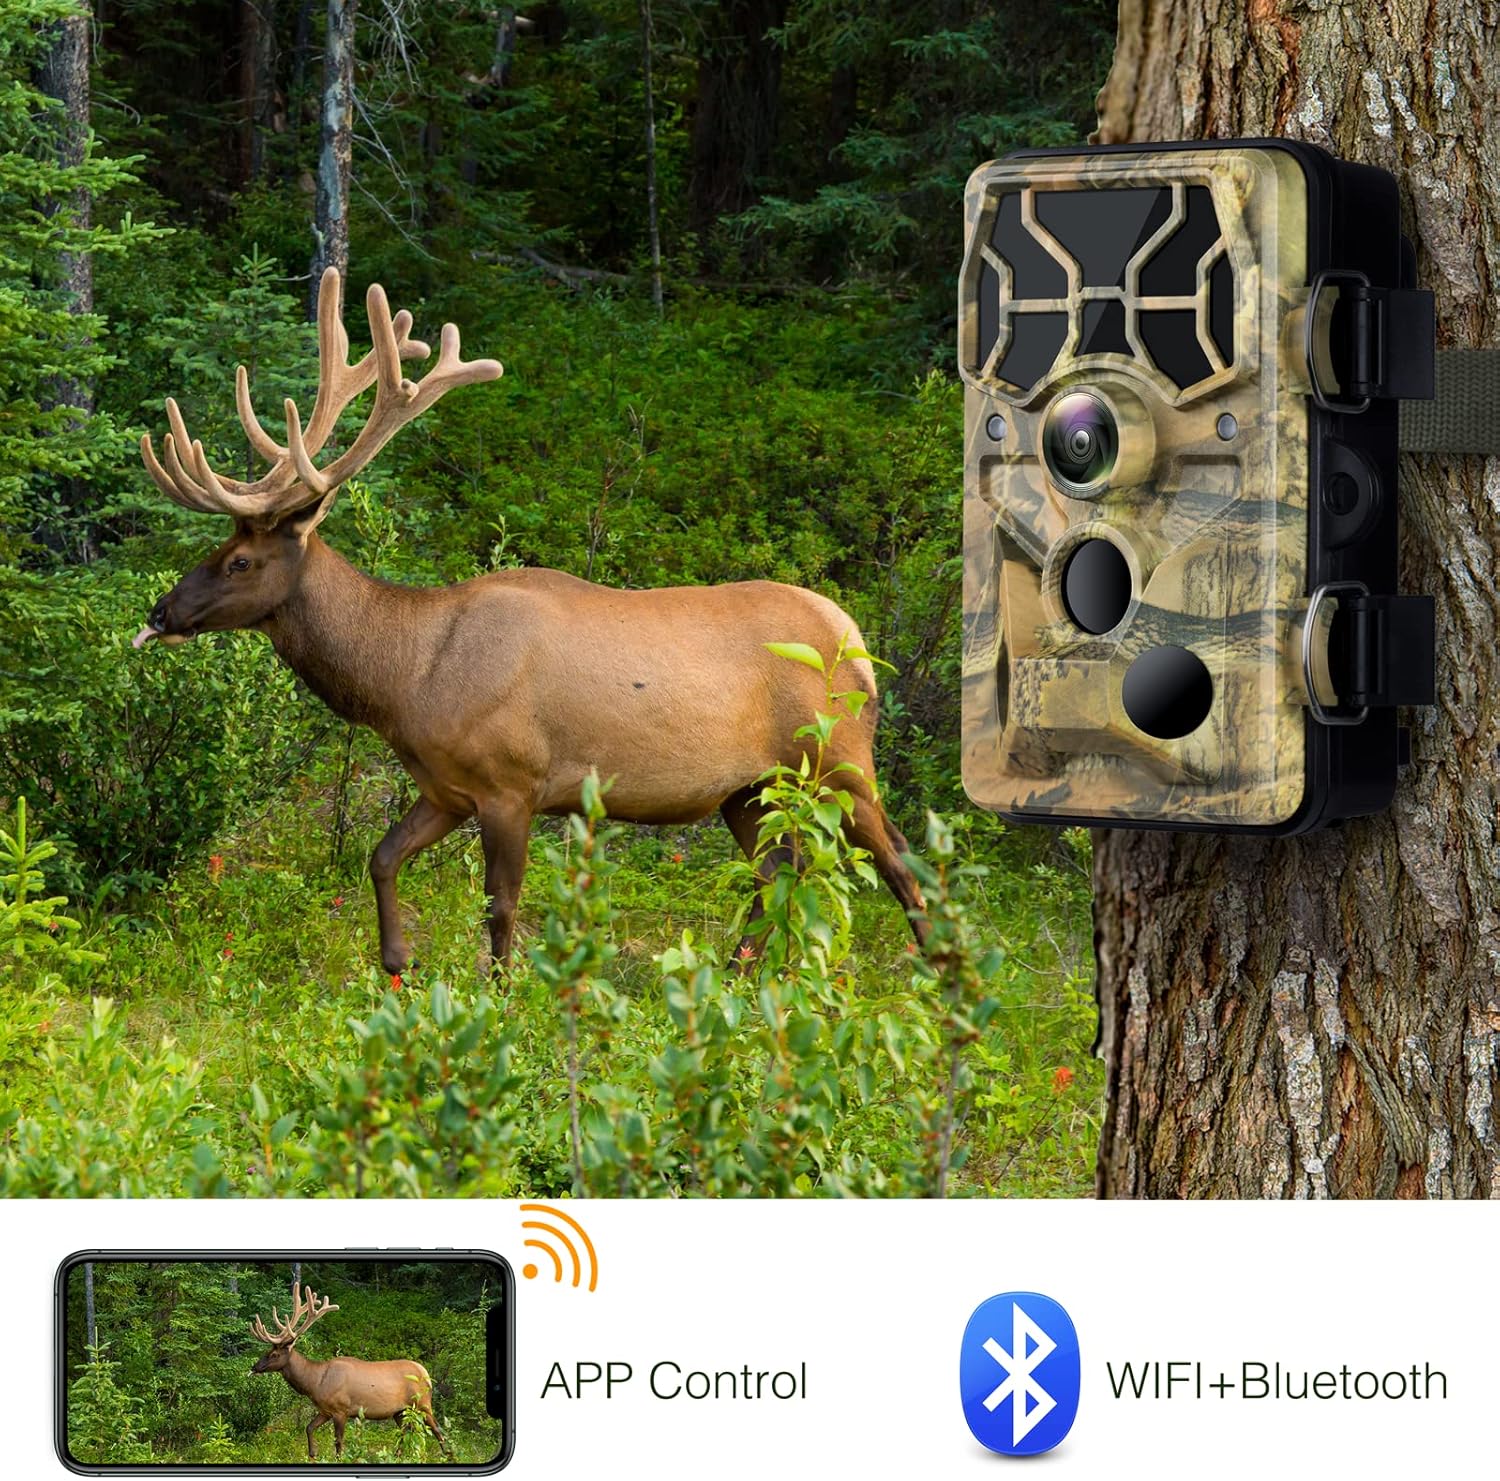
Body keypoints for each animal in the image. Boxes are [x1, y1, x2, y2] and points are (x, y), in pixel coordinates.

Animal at [133, 267, 927, 975]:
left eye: (239, 560)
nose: (159, 611)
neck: (405, 679)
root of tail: (859, 643)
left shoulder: (511, 782)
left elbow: (502, 906)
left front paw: (502, 998)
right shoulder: (444, 787)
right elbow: (381, 856)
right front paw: (397, 964)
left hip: (841, 759)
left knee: (900, 864)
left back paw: (932, 979)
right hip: (747, 788)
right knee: (775, 874)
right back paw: (737, 977)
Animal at [247, 1281, 450, 1461]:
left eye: (274, 1354)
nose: (254, 1367)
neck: (315, 1383)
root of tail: (426, 1374)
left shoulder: (341, 1410)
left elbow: (338, 1443)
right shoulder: (325, 1410)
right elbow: (309, 1428)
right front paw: (312, 1454)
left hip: (423, 1403)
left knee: (437, 1430)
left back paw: (448, 1456)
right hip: (400, 1411)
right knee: (406, 1433)